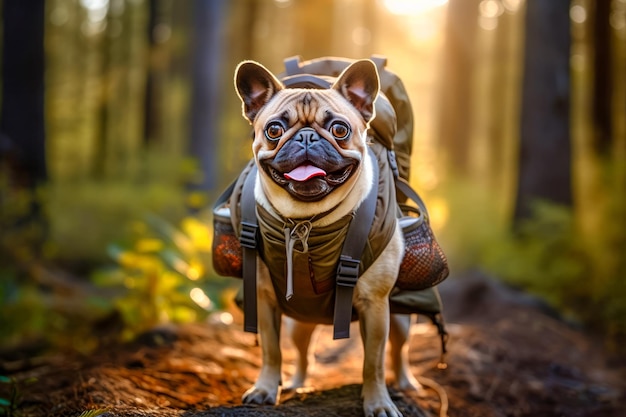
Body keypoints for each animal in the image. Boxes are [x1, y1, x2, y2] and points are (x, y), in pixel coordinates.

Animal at [233, 58, 414, 416]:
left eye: (340, 130)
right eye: (274, 130)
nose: (306, 137)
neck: (306, 220)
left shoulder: (376, 306)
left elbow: (373, 363)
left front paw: (378, 402)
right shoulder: (264, 299)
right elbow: (271, 351)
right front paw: (265, 388)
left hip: (399, 320)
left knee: (398, 352)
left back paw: (405, 384)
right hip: (299, 323)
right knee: (303, 354)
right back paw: (296, 383)